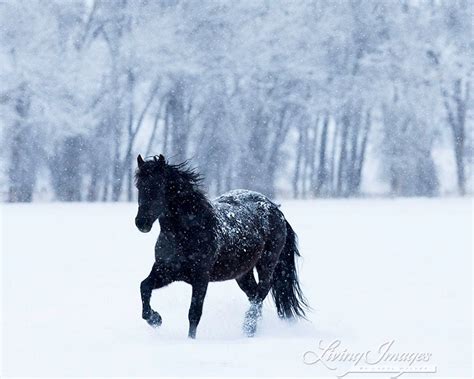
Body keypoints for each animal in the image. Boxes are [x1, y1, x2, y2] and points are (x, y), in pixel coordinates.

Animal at [135, 154, 310, 338]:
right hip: (242, 273)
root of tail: (275, 209)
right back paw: (252, 329)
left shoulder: (201, 277)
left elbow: (194, 313)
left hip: (267, 263)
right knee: (254, 294)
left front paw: (190, 340)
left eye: (158, 185)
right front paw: (155, 319)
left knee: (262, 291)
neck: (188, 232)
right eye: (139, 185)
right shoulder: (166, 270)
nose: (141, 223)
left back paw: (248, 328)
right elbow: (144, 286)